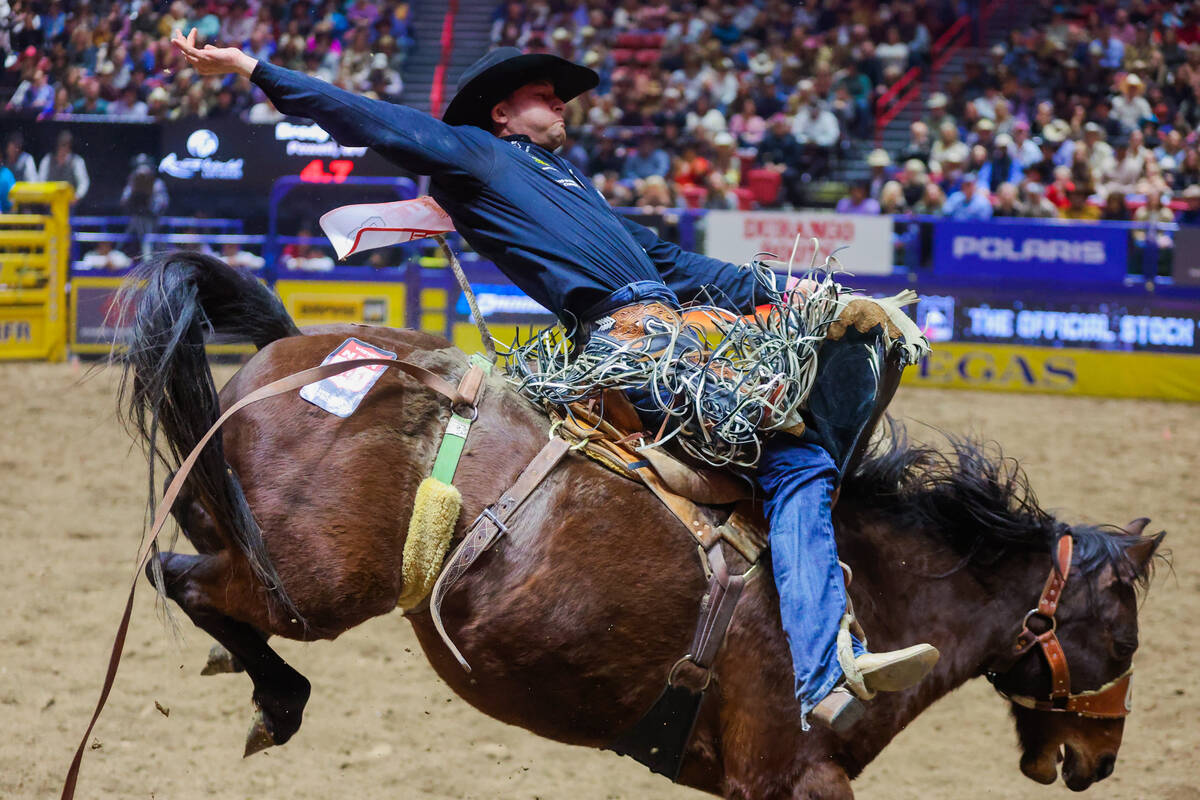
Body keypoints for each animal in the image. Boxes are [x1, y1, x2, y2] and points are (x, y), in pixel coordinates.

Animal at [114, 253, 1161, 796]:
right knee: (180, 577)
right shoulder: (789, 777)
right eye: (1122, 637)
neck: (878, 589)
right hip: (310, 586)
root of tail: (299, 348)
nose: (1099, 758)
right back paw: (276, 699)